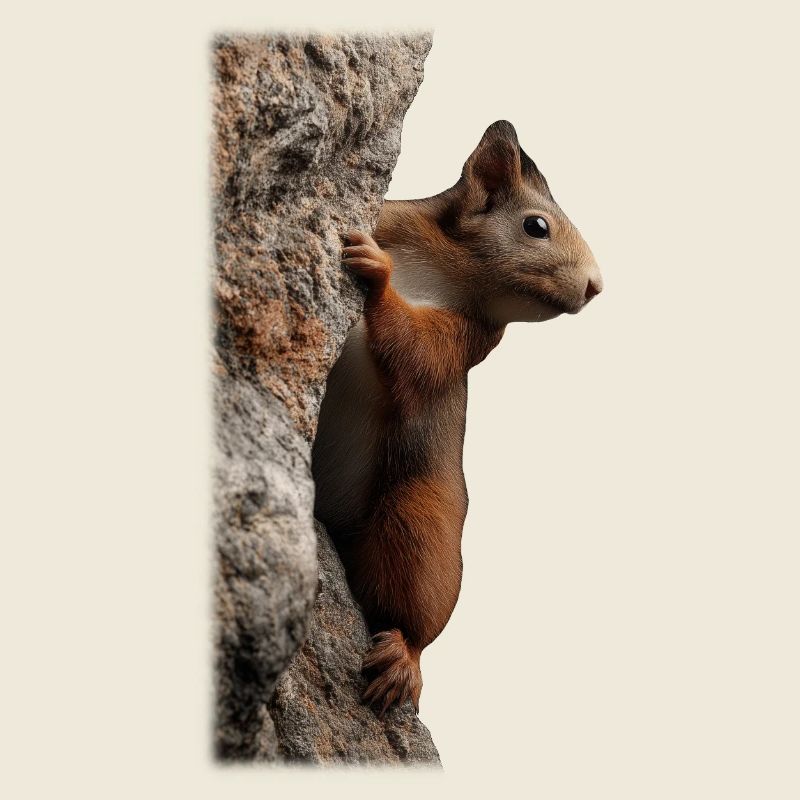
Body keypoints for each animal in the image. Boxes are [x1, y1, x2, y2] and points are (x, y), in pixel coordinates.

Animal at [312, 120, 602, 715]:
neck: (451, 265)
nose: (596, 285)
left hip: (423, 517)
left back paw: (403, 657)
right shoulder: (396, 219)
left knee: (414, 603)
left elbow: (418, 354)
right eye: (536, 226)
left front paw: (378, 276)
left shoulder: (470, 338)